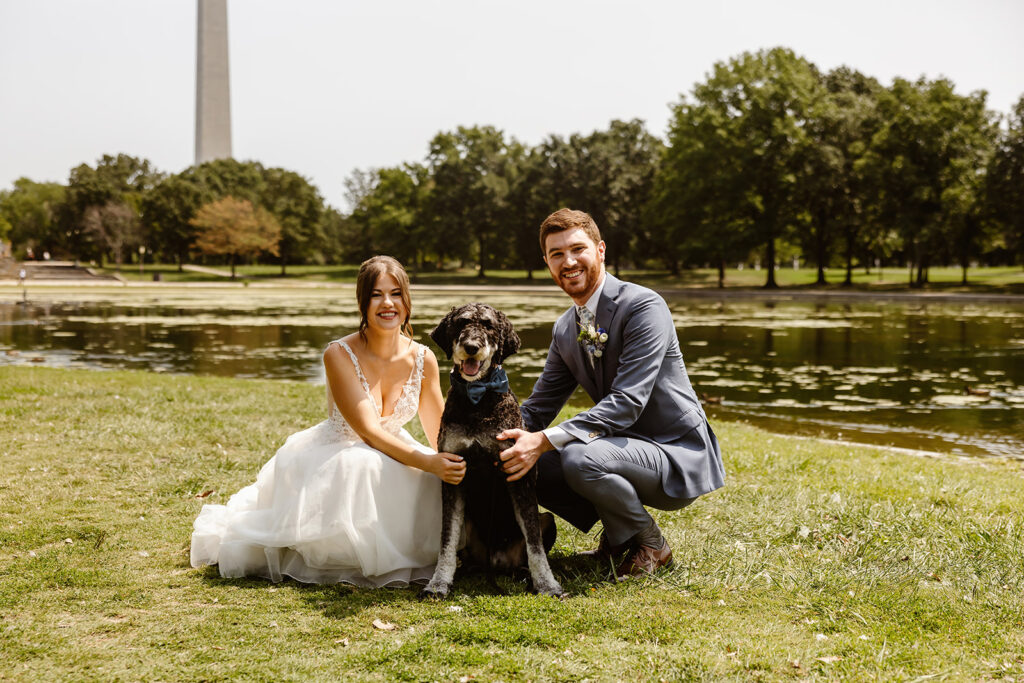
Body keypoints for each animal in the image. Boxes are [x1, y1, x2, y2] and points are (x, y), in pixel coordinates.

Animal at [423, 303, 569, 598]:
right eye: (462, 323)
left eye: (489, 326)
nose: (471, 347)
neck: (478, 399)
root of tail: (496, 562)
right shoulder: (454, 472)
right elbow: (446, 539)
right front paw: (439, 582)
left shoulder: (519, 474)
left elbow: (534, 544)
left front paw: (547, 585)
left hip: (547, 519)